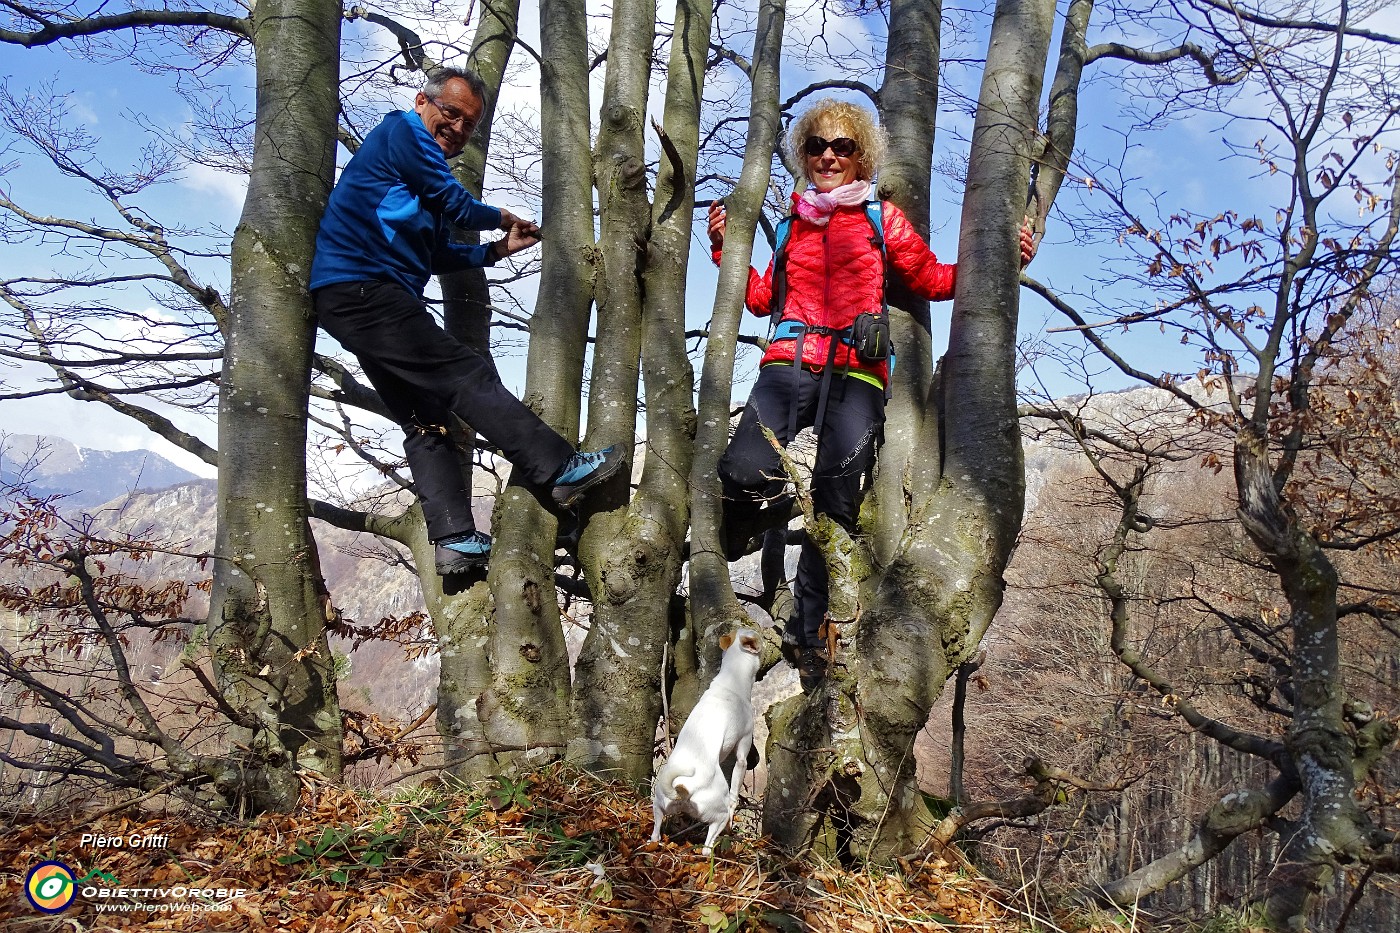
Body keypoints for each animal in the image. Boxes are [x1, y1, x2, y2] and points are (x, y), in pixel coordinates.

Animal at [649, 624, 761, 851]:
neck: (733, 679)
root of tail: (681, 789)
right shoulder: (743, 751)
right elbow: (735, 793)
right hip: (717, 814)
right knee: (706, 847)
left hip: (657, 806)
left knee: (655, 834)